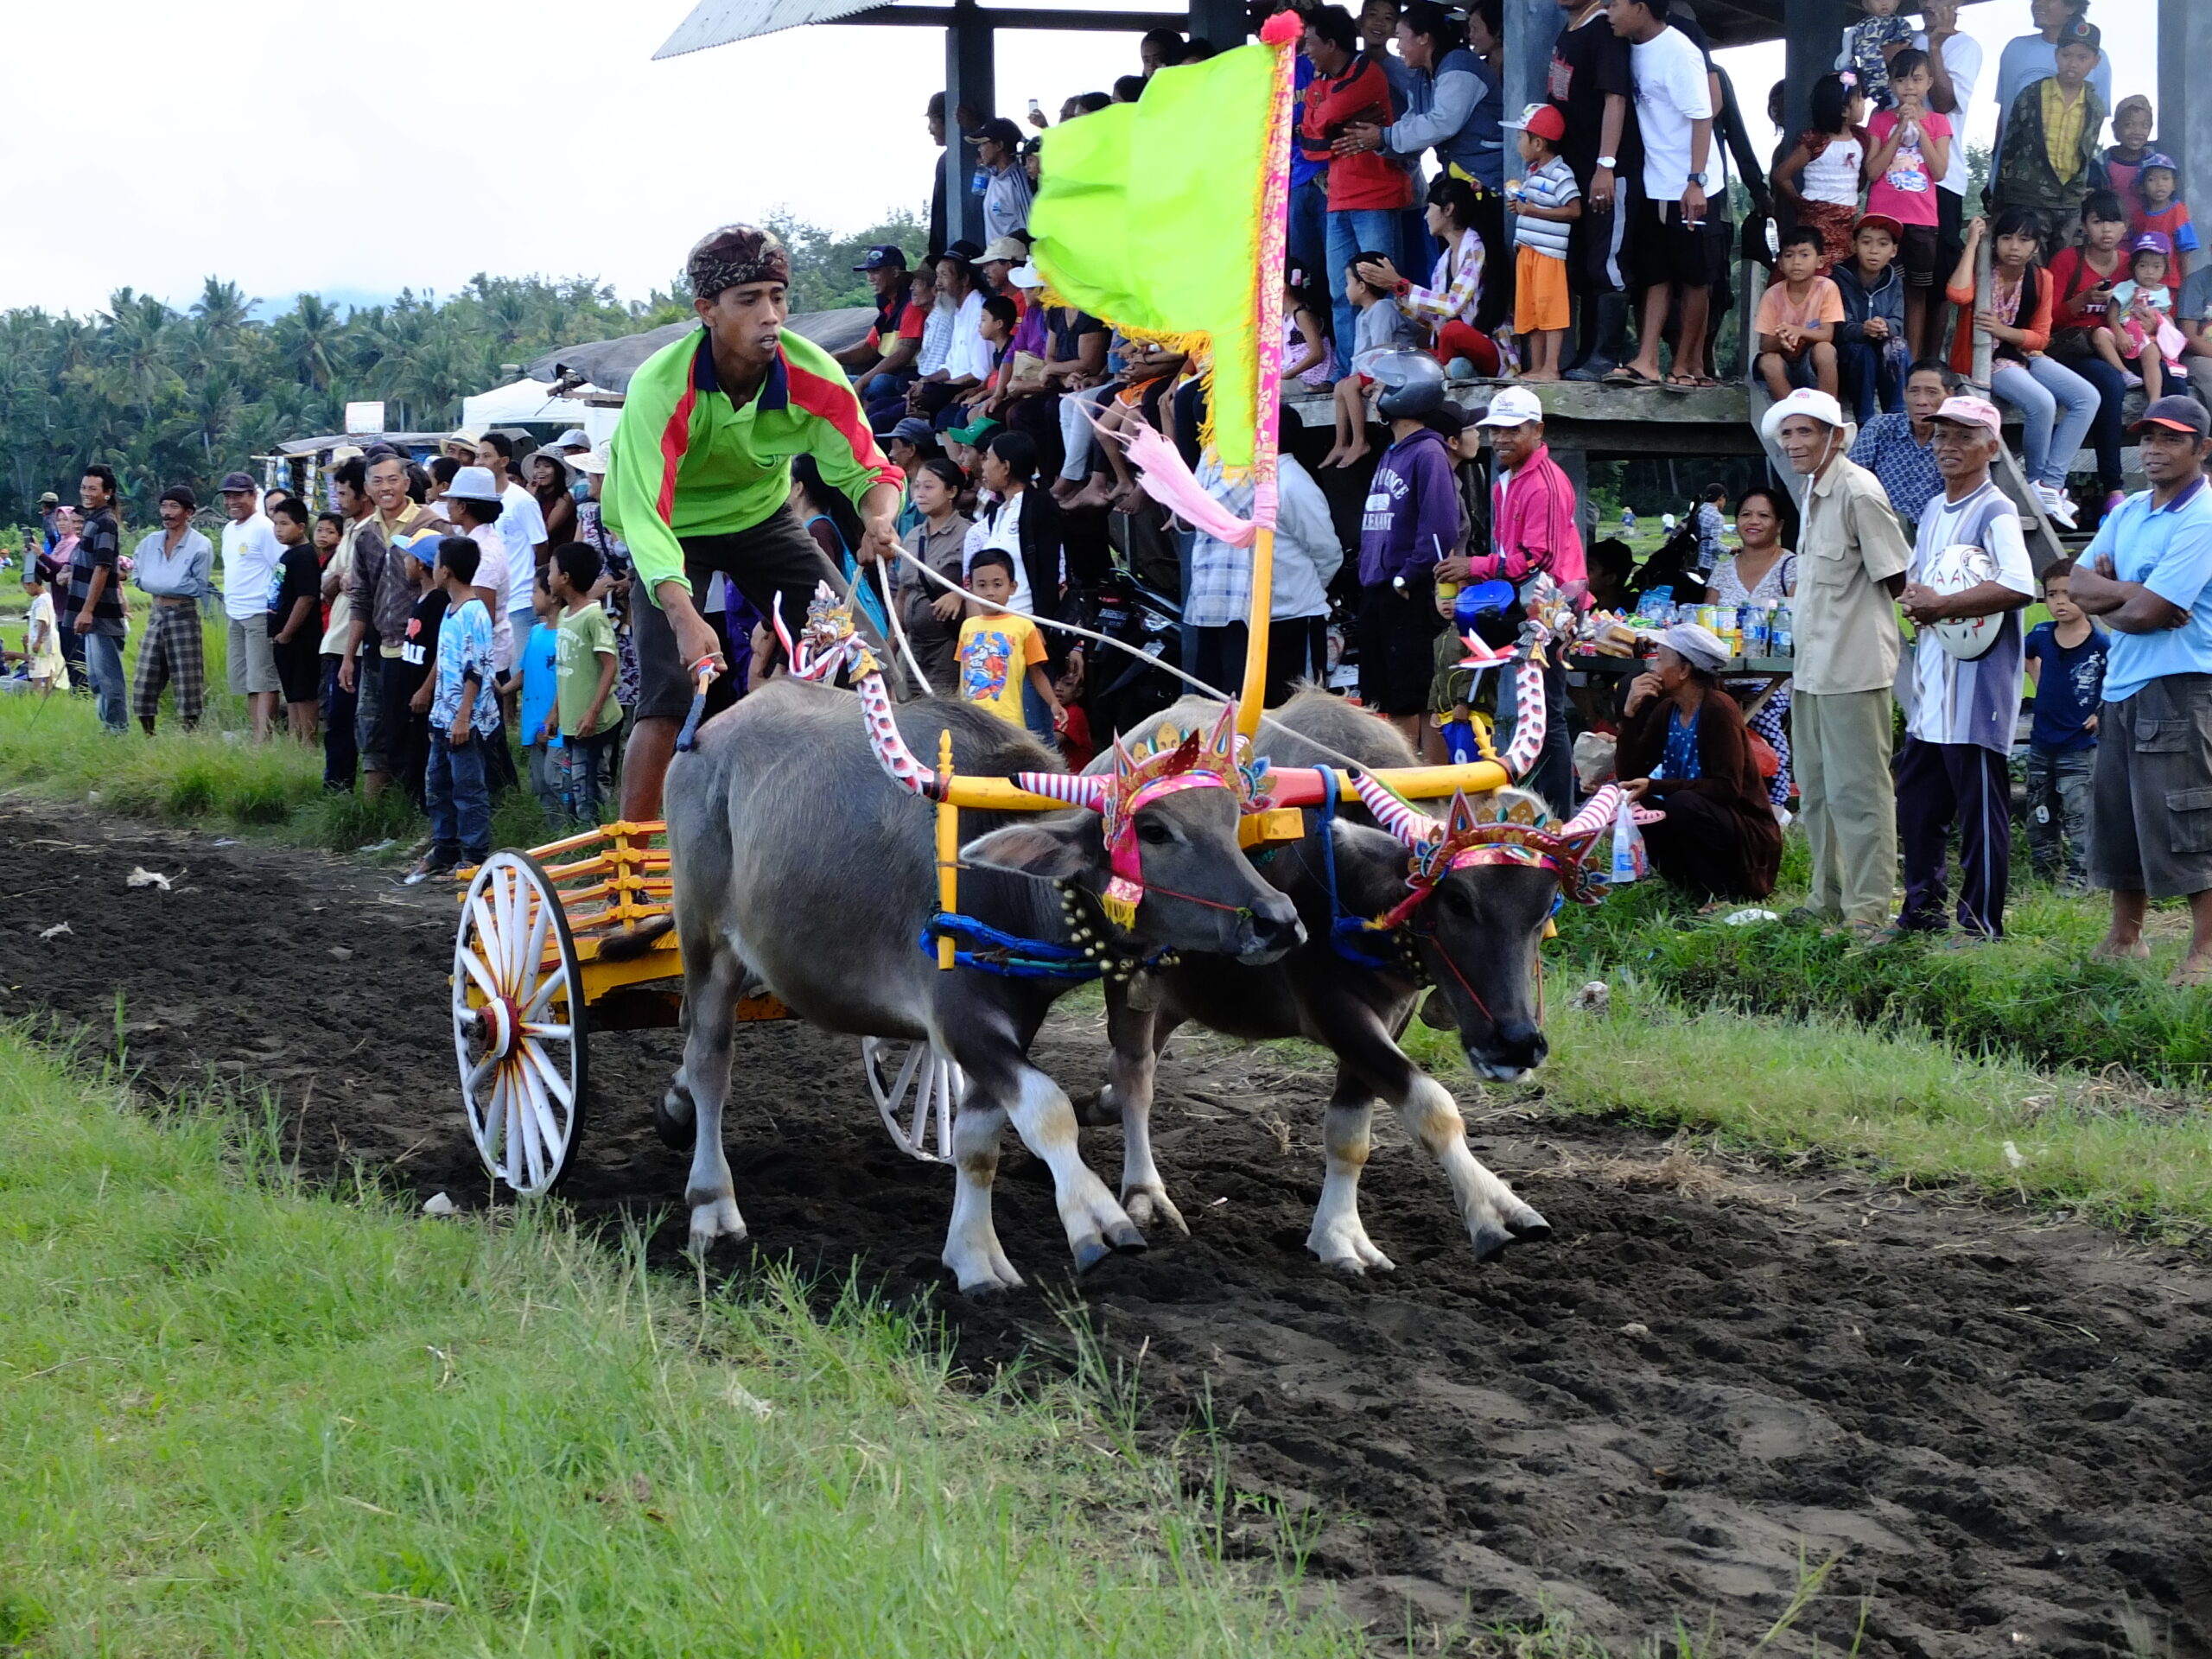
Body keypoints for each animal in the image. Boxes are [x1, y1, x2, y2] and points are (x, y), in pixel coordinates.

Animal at [664, 677, 1300, 1300]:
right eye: (1152, 830)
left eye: (1232, 820)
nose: (1279, 920)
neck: (1001, 886)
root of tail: (705, 737)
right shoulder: (961, 1021)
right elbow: (1049, 1110)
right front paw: (1094, 1217)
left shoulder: (1008, 1027)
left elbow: (978, 1143)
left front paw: (974, 1258)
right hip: (705, 943)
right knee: (709, 1061)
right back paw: (711, 1202)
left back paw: (677, 1110)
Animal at [1088, 694, 1592, 1282]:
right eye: (1457, 901)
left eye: (1546, 907)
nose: (1515, 1045)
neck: (1351, 884)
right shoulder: (1333, 1008)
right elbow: (1433, 1106)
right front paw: (1492, 1210)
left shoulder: (1390, 1014)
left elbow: (1350, 1134)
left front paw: (1339, 1234)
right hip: (1124, 973)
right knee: (1135, 1073)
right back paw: (1143, 1192)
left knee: (1137, 1062)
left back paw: (1103, 1105)